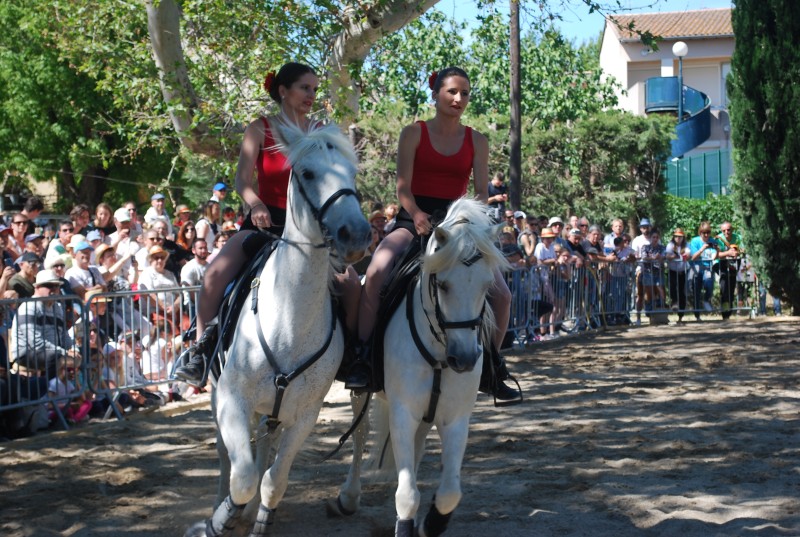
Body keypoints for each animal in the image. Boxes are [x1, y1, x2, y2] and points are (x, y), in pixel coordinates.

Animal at [188, 120, 372, 536]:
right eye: (307, 173)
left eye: (352, 173)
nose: (356, 235)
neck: (290, 320)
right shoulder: (232, 399)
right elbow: (241, 477)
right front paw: (219, 520)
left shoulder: (304, 415)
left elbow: (273, 480)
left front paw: (257, 517)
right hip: (218, 393)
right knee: (226, 457)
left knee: (262, 451)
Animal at [334, 199, 510, 536]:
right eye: (442, 284)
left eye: (487, 286)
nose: (464, 360)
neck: (440, 349)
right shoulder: (403, 412)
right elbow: (407, 495)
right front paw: (407, 522)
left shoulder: (455, 418)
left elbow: (449, 493)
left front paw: (430, 523)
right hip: (362, 394)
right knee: (360, 434)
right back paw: (348, 497)